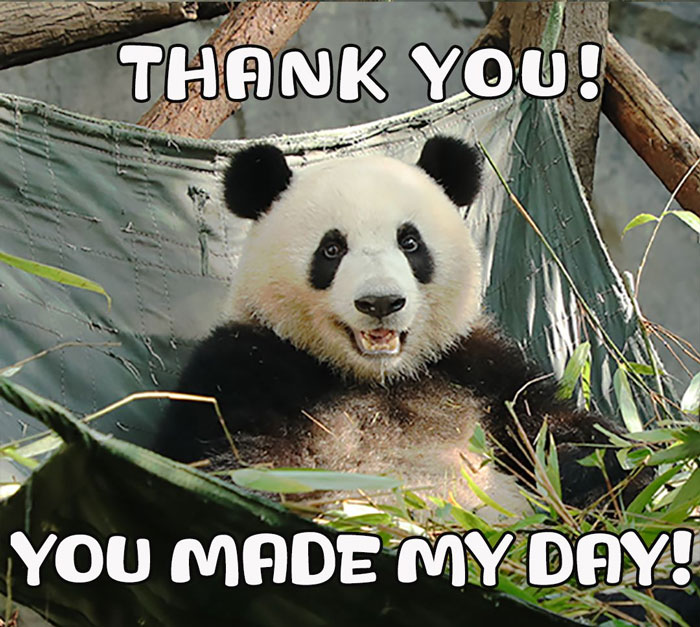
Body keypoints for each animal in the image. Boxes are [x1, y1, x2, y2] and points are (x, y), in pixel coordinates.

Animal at [155, 136, 644, 521]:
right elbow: (239, 461)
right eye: (331, 249)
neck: (379, 376)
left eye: (409, 242)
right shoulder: (247, 365)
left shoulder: (477, 369)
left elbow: (565, 435)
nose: (380, 302)